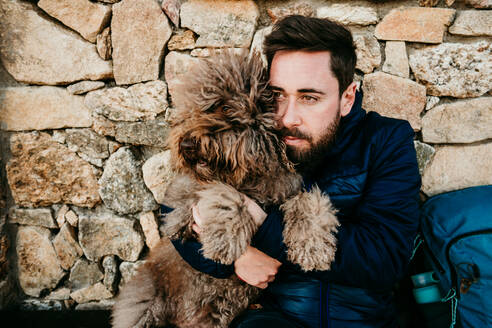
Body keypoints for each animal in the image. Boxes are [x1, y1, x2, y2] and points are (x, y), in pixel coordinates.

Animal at [113, 51, 340, 328]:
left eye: (225, 108)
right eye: (192, 111)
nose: (186, 144)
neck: (250, 176)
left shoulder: (289, 188)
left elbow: (310, 201)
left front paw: (313, 247)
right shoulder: (182, 203)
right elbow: (223, 193)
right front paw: (225, 241)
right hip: (144, 307)